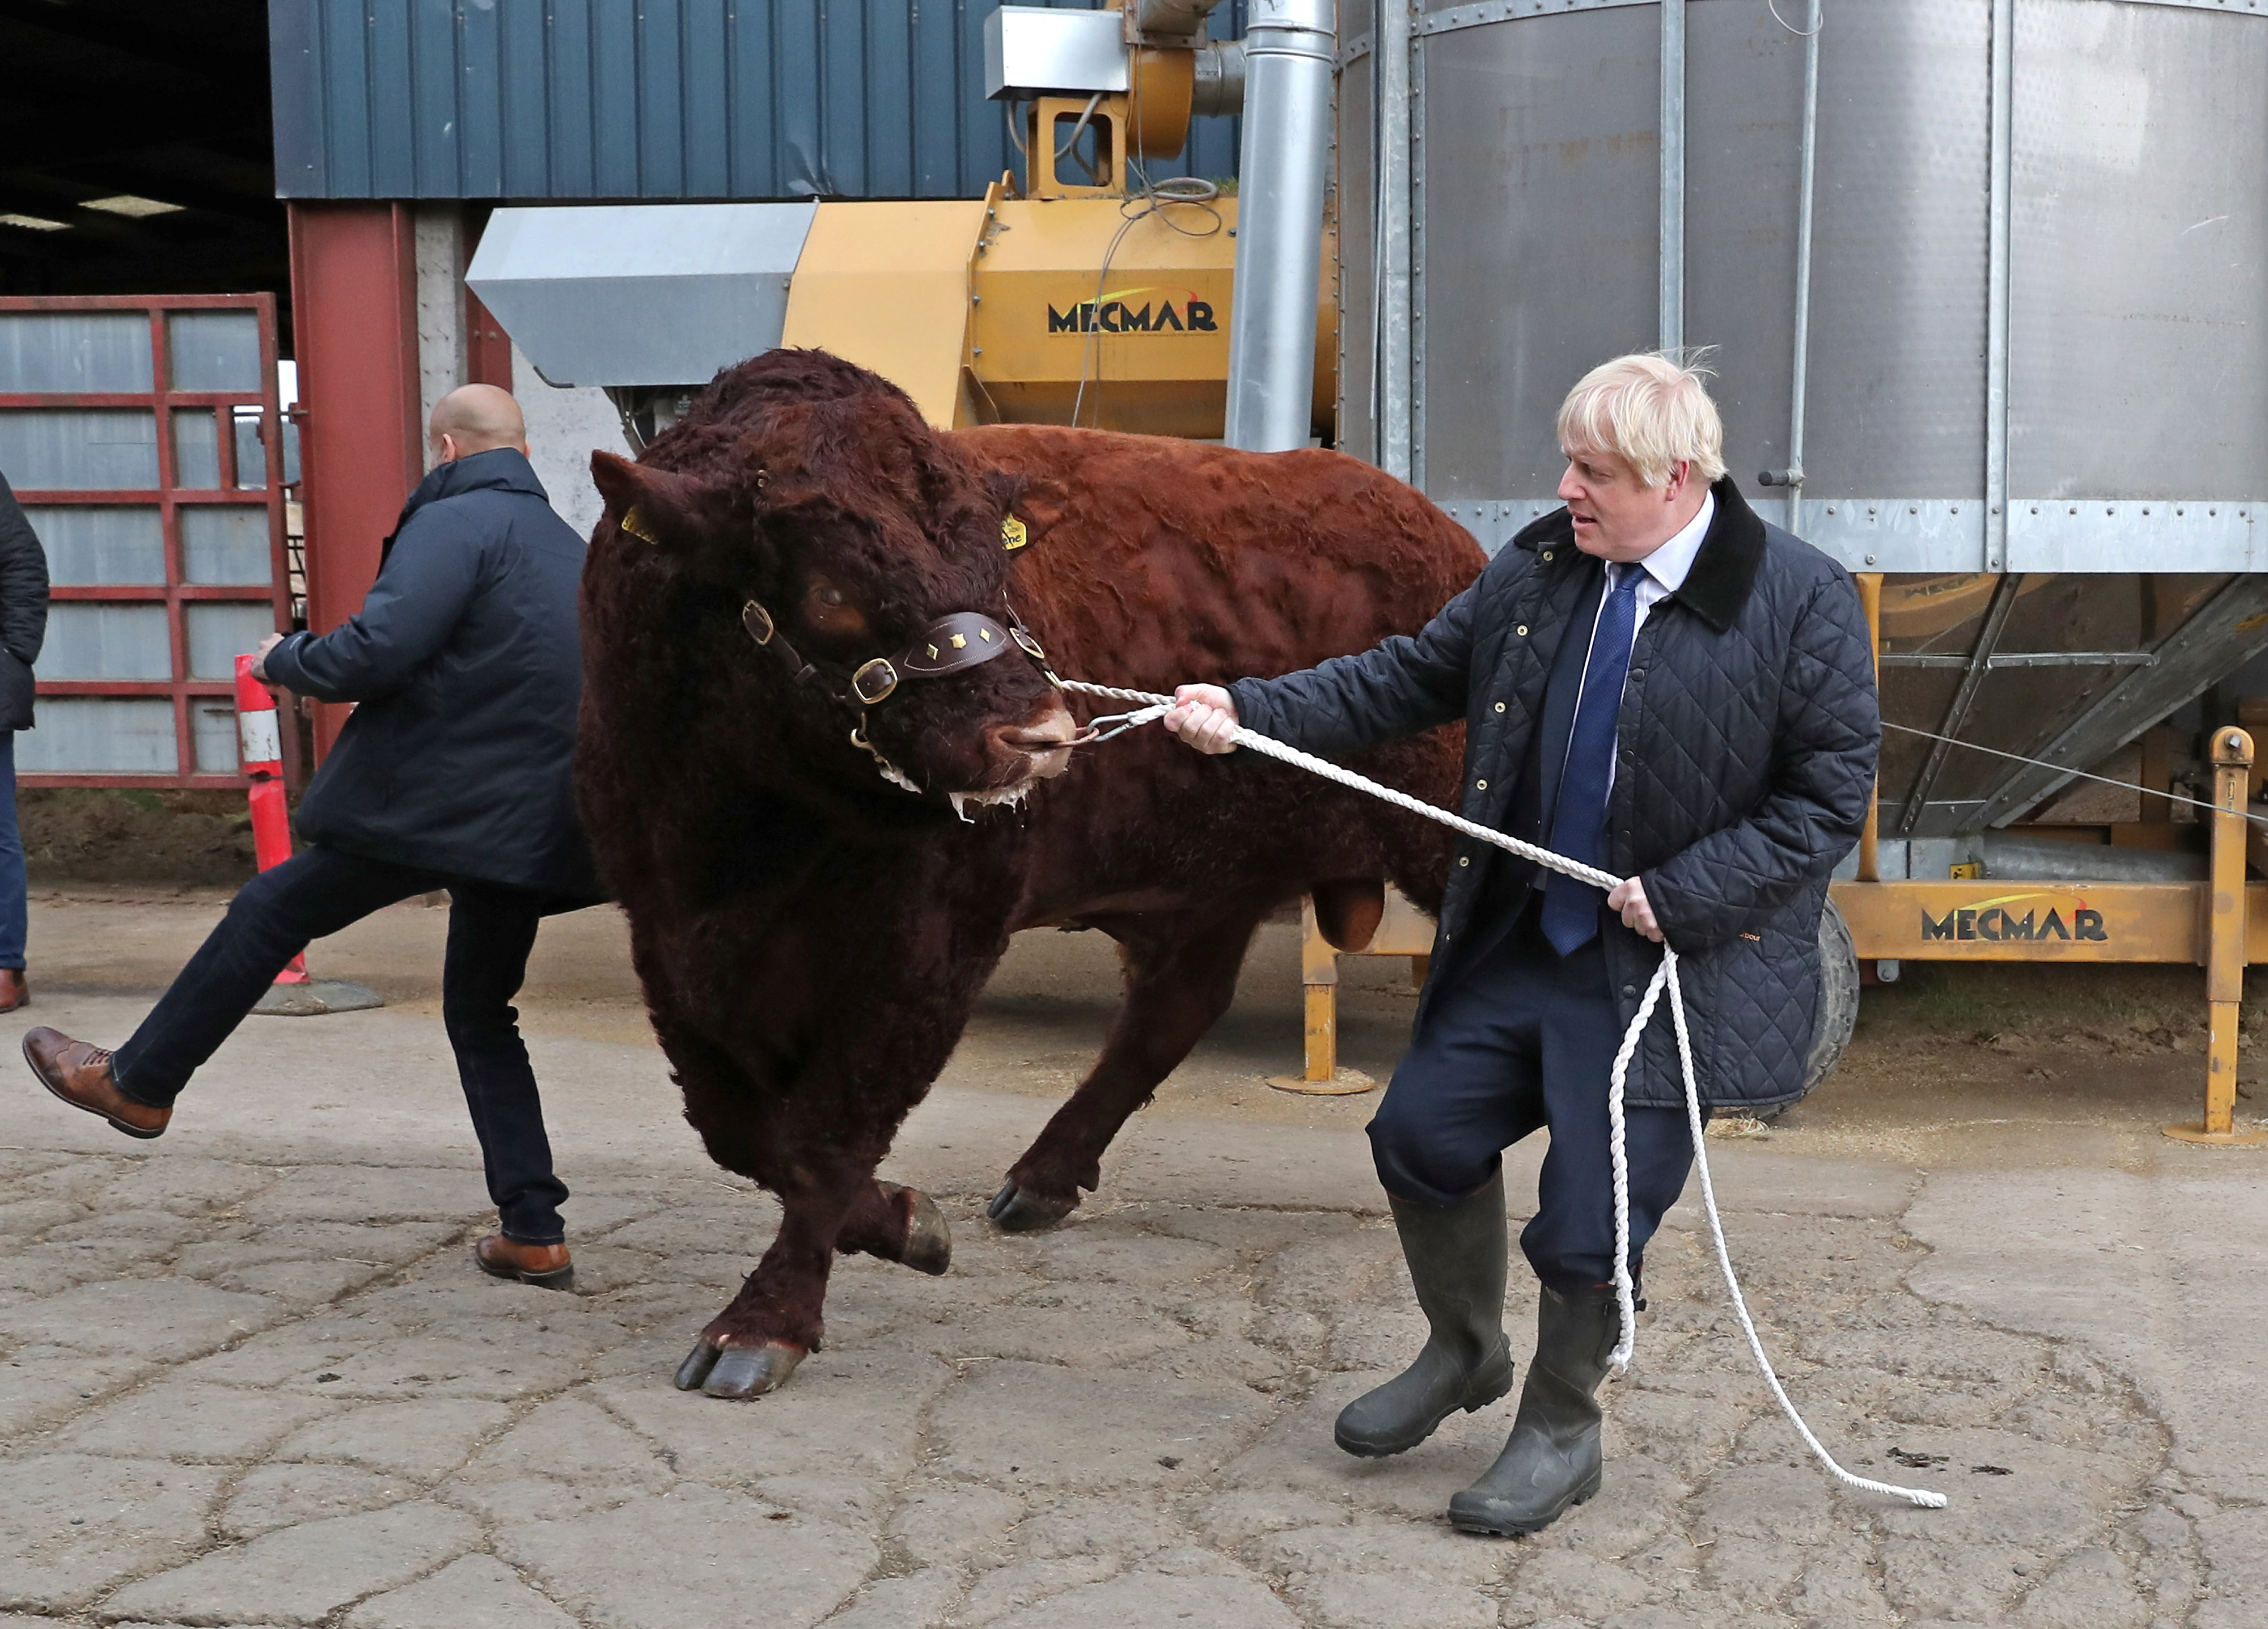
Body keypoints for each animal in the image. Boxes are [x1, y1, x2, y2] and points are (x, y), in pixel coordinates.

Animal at [576, 352, 1479, 1397]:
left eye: (995, 565)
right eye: (832, 587)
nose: (1041, 735)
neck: (742, 831)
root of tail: (1442, 534)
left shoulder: (932, 945)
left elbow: (825, 1134)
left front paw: (766, 1325)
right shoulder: (668, 935)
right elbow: (739, 1126)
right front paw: (905, 1221)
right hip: (1210, 884)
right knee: (1171, 1012)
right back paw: (1043, 1179)